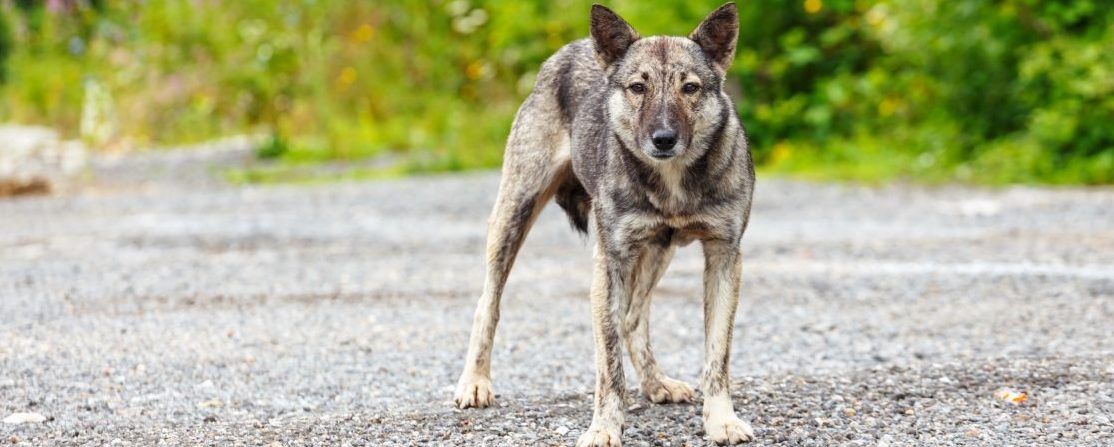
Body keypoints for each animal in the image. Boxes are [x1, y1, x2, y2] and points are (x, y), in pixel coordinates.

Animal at [454, 2, 757, 441]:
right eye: (637, 88)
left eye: (690, 88)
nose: (664, 138)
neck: (672, 181)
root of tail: (572, 48)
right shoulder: (610, 264)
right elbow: (609, 368)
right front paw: (604, 429)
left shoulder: (723, 257)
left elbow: (718, 357)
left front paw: (722, 419)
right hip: (513, 216)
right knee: (487, 304)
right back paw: (475, 382)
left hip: (658, 252)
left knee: (633, 320)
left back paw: (656, 383)